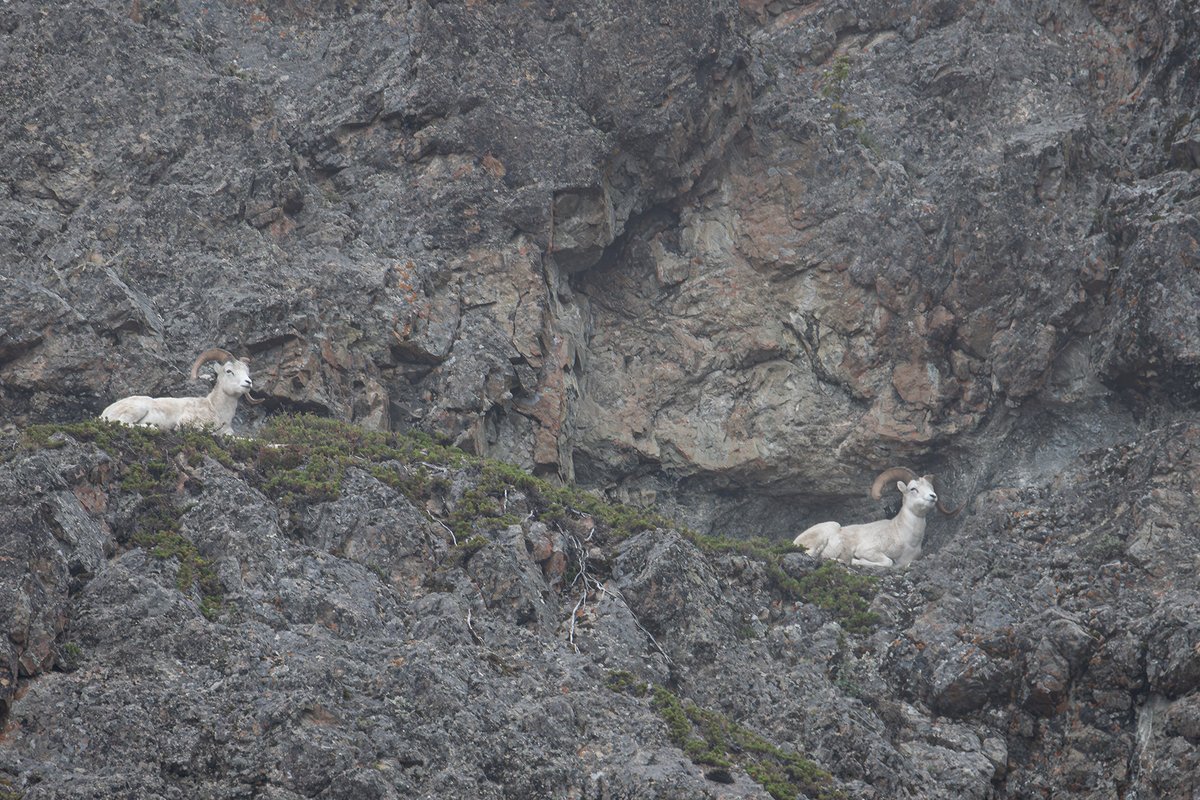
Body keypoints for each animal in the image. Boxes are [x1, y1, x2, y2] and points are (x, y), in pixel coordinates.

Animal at [99, 348, 263, 435]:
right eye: (229, 371)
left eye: (247, 372)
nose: (248, 383)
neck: (217, 410)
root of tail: (104, 413)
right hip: (138, 408)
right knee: (120, 422)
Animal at [793, 467, 962, 569]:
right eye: (913, 489)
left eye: (931, 488)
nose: (933, 496)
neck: (906, 539)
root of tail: (796, 541)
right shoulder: (869, 550)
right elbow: (888, 562)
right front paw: (855, 560)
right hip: (830, 528)